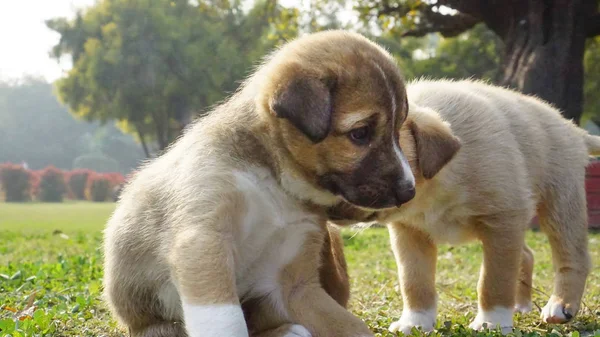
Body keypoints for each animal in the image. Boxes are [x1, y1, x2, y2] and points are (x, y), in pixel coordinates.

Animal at [102, 28, 418, 336]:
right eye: (360, 133)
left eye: (398, 129)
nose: (409, 191)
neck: (275, 185)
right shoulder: (204, 242)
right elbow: (227, 323)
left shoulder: (293, 285)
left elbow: (351, 326)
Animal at [328, 79, 600, 334]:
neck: (432, 188)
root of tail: (572, 129)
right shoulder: (410, 234)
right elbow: (414, 282)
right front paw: (415, 321)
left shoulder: (501, 221)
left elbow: (494, 280)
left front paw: (492, 322)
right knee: (525, 255)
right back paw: (520, 305)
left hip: (560, 202)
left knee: (572, 257)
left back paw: (560, 304)